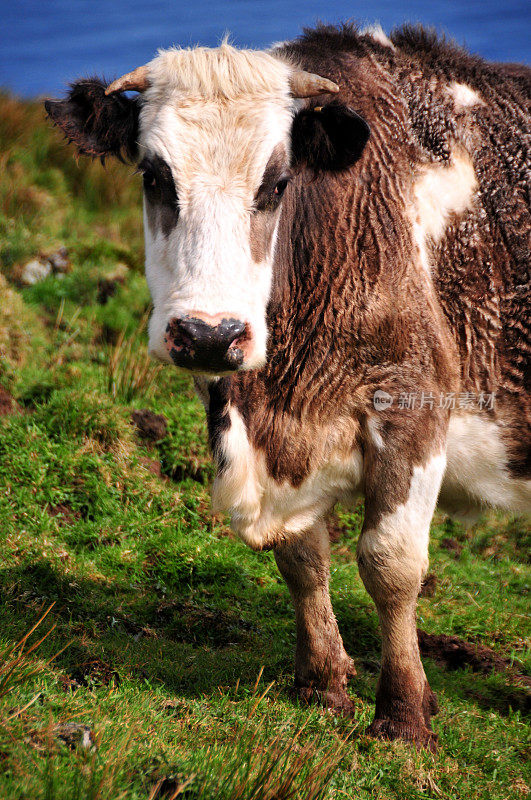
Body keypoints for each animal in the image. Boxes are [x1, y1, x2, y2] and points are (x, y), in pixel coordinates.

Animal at [46, 25, 531, 752]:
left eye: (276, 184)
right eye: (154, 176)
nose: (210, 334)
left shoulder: (412, 406)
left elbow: (391, 564)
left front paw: (404, 714)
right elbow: (302, 556)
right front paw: (323, 684)